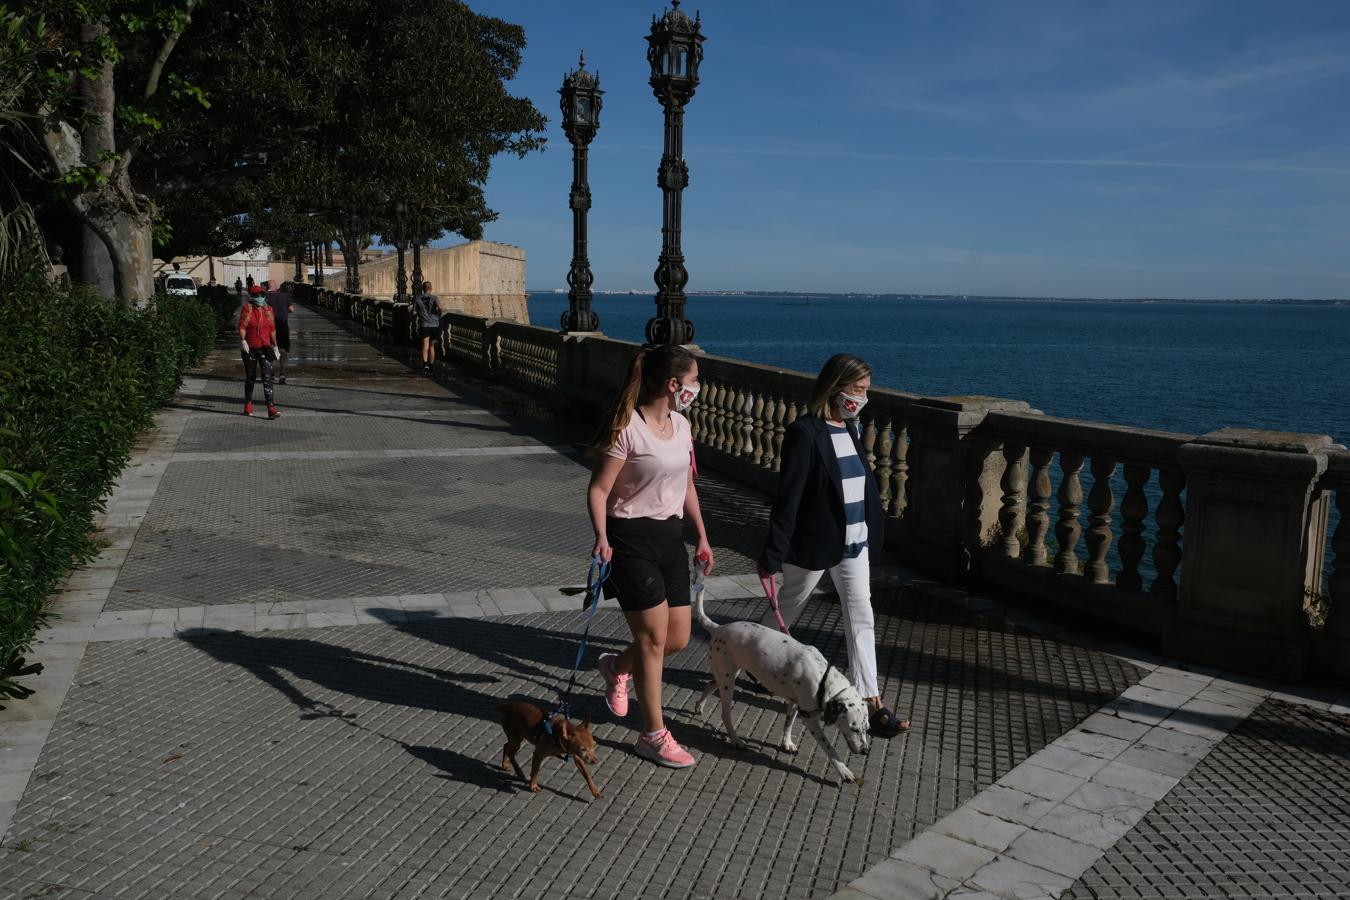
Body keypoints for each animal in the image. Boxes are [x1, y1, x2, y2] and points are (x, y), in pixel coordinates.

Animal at [691, 585, 869, 782]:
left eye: (867, 729)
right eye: (854, 729)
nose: (866, 751)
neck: (824, 678)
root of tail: (719, 627)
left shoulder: (795, 703)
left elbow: (788, 724)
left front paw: (786, 743)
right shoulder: (810, 720)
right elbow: (830, 748)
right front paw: (843, 770)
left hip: (725, 676)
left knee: (710, 684)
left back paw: (699, 705)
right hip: (728, 683)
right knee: (725, 715)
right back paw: (736, 740)